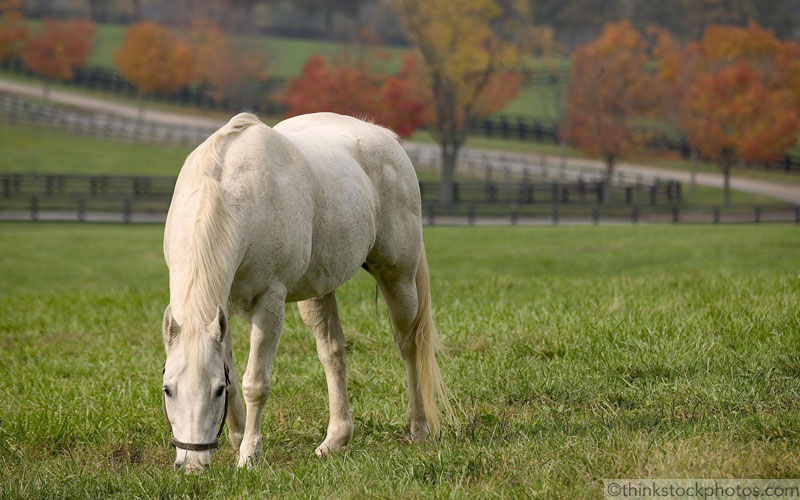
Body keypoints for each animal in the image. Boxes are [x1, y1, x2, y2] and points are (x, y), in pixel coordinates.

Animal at [161, 111, 450, 470]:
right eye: (168, 389)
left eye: (215, 391)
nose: (192, 465)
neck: (231, 194)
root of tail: (386, 137)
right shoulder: (221, 308)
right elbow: (235, 372)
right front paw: (238, 439)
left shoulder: (269, 303)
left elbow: (255, 382)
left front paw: (249, 455)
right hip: (319, 291)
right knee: (333, 353)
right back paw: (336, 439)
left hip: (398, 277)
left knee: (410, 346)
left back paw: (418, 427)